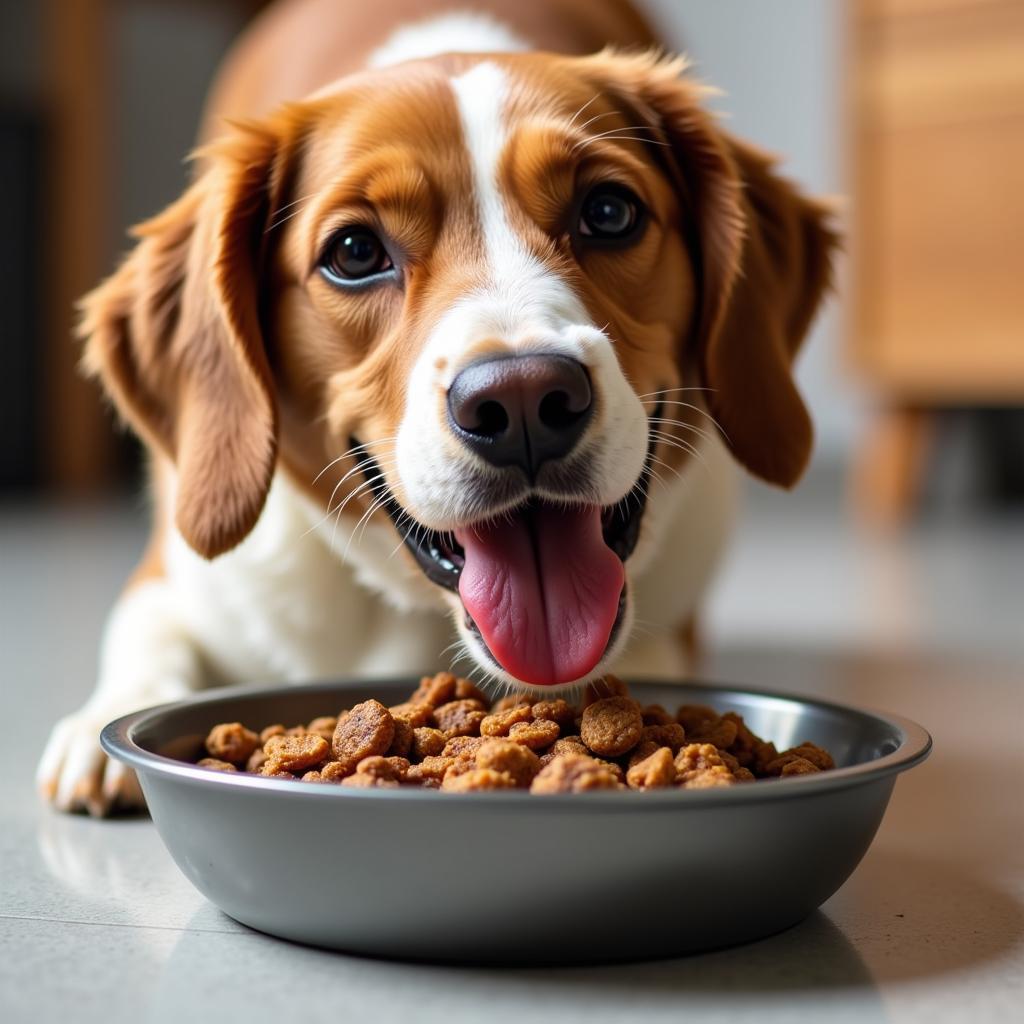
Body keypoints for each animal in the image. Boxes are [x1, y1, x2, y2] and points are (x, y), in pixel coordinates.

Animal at [39, 0, 839, 815]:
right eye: (355, 252)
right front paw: (99, 728)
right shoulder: (180, 572)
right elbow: (145, 633)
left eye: (610, 211)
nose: (523, 400)